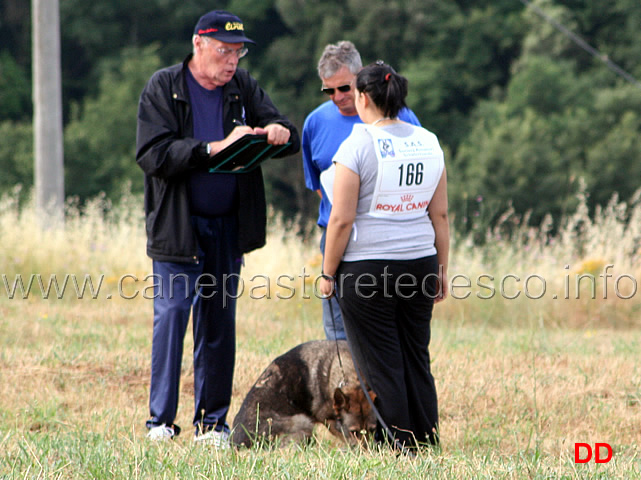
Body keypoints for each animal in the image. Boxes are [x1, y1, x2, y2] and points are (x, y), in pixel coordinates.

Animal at [232, 340, 378, 448]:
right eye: (354, 432)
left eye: (372, 430)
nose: (368, 452)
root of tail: (237, 444)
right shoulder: (326, 418)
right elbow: (342, 434)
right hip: (303, 421)